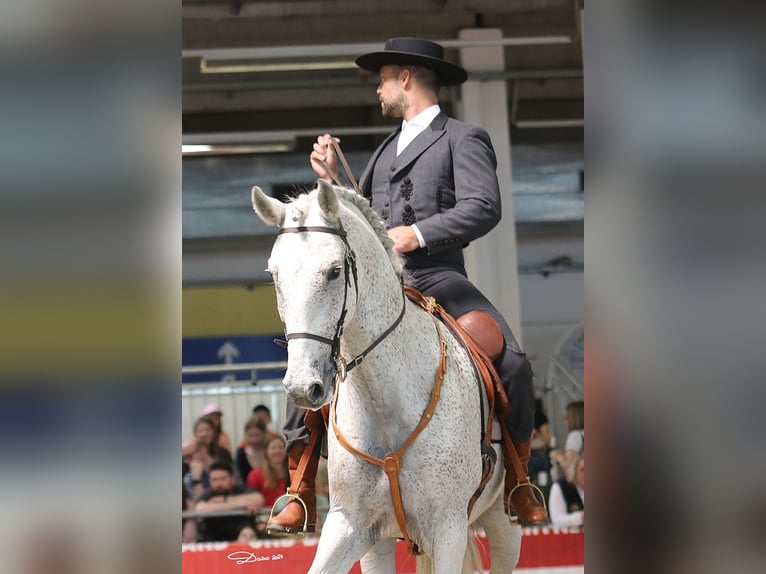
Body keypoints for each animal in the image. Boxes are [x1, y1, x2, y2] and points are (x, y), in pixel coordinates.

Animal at [252, 181, 520, 574]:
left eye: (334, 271)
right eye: (274, 275)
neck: (383, 400)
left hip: (504, 525)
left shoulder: (448, 530)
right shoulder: (352, 526)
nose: (303, 387)